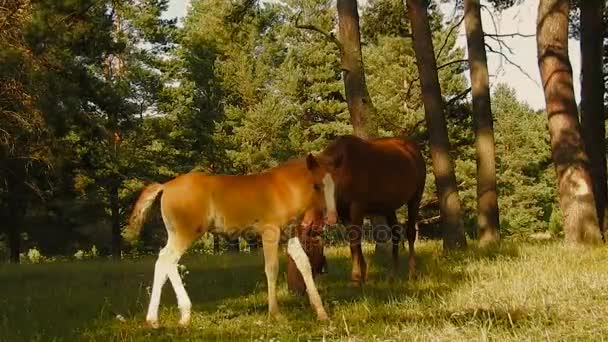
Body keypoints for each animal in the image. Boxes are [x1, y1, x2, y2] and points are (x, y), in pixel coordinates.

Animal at [124, 154, 338, 328]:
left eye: (332, 185)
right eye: (316, 185)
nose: (332, 218)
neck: (284, 188)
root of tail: (165, 186)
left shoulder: (289, 234)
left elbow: (304, 264)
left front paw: (321, 313)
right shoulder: (270, 233)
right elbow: (272, 268)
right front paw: (275, 314)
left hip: (176, 234)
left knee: (162, 262)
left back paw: (153, 320)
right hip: (186, 233)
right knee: (168, 260)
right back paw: (184, 315)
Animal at [288, 135, 426, 290]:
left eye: (306, 249)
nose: (293, 287)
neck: (345, 172)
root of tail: (414, 148)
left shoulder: (357, 208)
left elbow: (355, 243)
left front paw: (355, 278)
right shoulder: (344, 214)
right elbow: (354, 244)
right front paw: (363, 275)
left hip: (415, 198)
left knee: (410, 232)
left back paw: (412, 272)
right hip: (389, 207)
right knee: (396, 233)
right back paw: (392, 274)